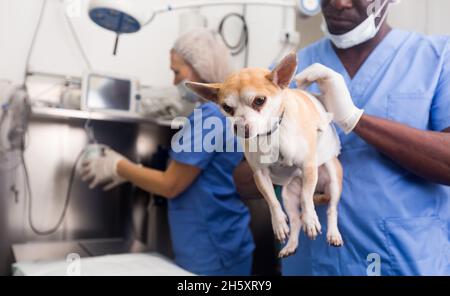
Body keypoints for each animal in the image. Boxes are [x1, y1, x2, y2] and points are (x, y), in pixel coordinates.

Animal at [188, 54, 342, 258]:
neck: (271, 133)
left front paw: (310, 219)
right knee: (295, 220)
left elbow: (306, 197)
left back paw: (333, 233)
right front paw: (278, 224)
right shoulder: (260, 174)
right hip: (288, 195)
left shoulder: (308, 166)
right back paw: (291, 245)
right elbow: (271, 200)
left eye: (259, 100)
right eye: (227, 108)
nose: (240, 127)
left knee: (331, 209)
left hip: (332, 178)